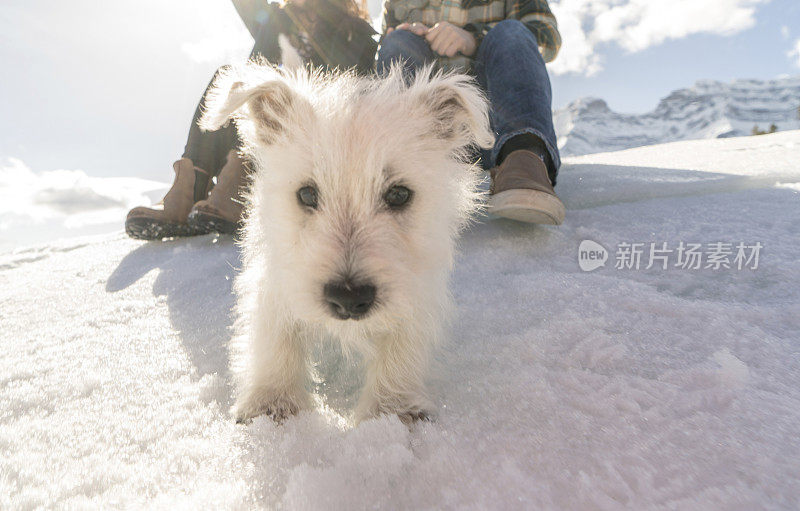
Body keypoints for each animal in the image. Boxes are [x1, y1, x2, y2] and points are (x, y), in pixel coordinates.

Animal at [200, 61, 494, 424]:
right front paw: (272, 401)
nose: (349, 298)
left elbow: (403, 340)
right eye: (306, 194)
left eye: (399, 194)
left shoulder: (418, 283)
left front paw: (392, 408)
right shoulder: (277, 274)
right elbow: (274, 333)